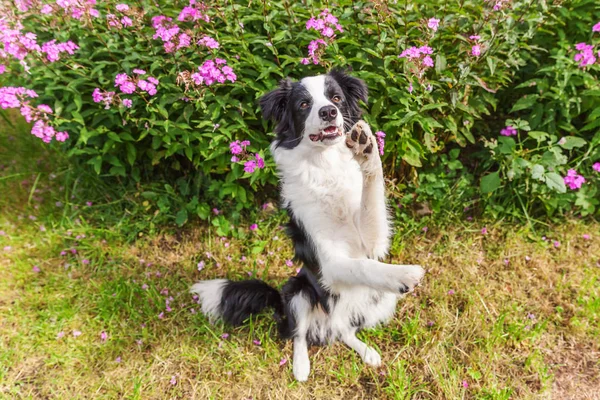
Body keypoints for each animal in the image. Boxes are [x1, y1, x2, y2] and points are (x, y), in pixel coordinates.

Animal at [190, 69, 424, 382]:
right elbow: (362, 266)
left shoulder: (372, 241)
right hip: (296, 291)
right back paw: (301, 367)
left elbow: (372, 199)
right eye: (303, 104)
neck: (325, 168)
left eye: (336, 98)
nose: (328, 112)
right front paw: (406, 273)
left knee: (345, 330)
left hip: (380, 300)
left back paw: (366, 352)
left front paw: (366, 148)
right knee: (298, 333)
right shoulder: (329, 264)